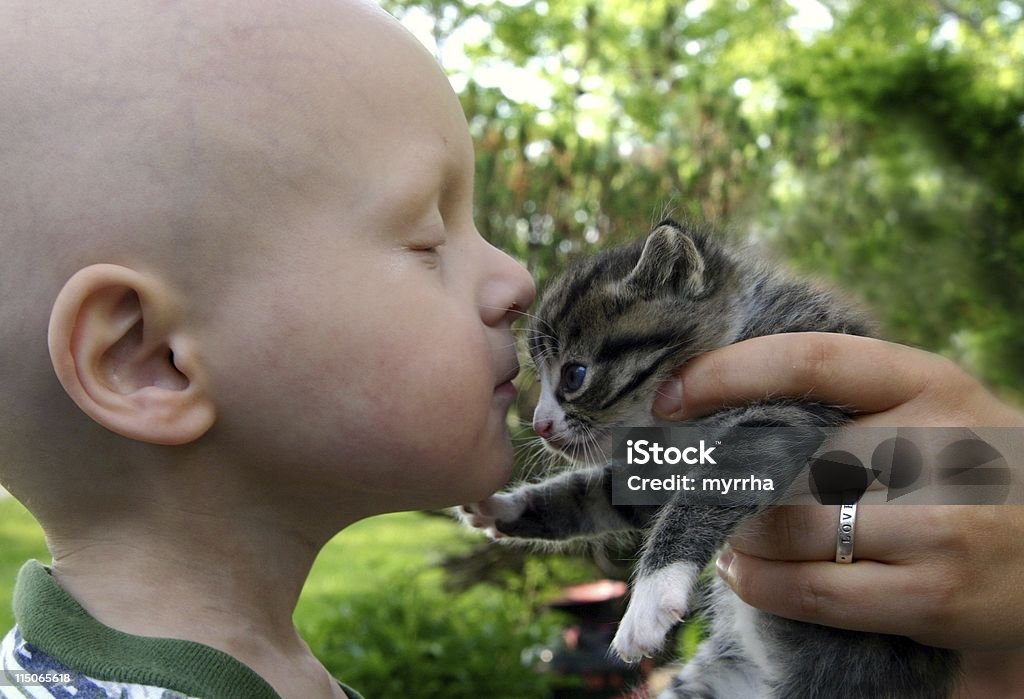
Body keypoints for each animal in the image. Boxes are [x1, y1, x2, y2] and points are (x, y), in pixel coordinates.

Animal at [464, 221, 958, 699]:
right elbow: (590, 496)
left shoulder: (789, 412)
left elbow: (703, 494)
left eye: (574, 375)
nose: (540, 425)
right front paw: (505, 507)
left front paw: (649, 597)